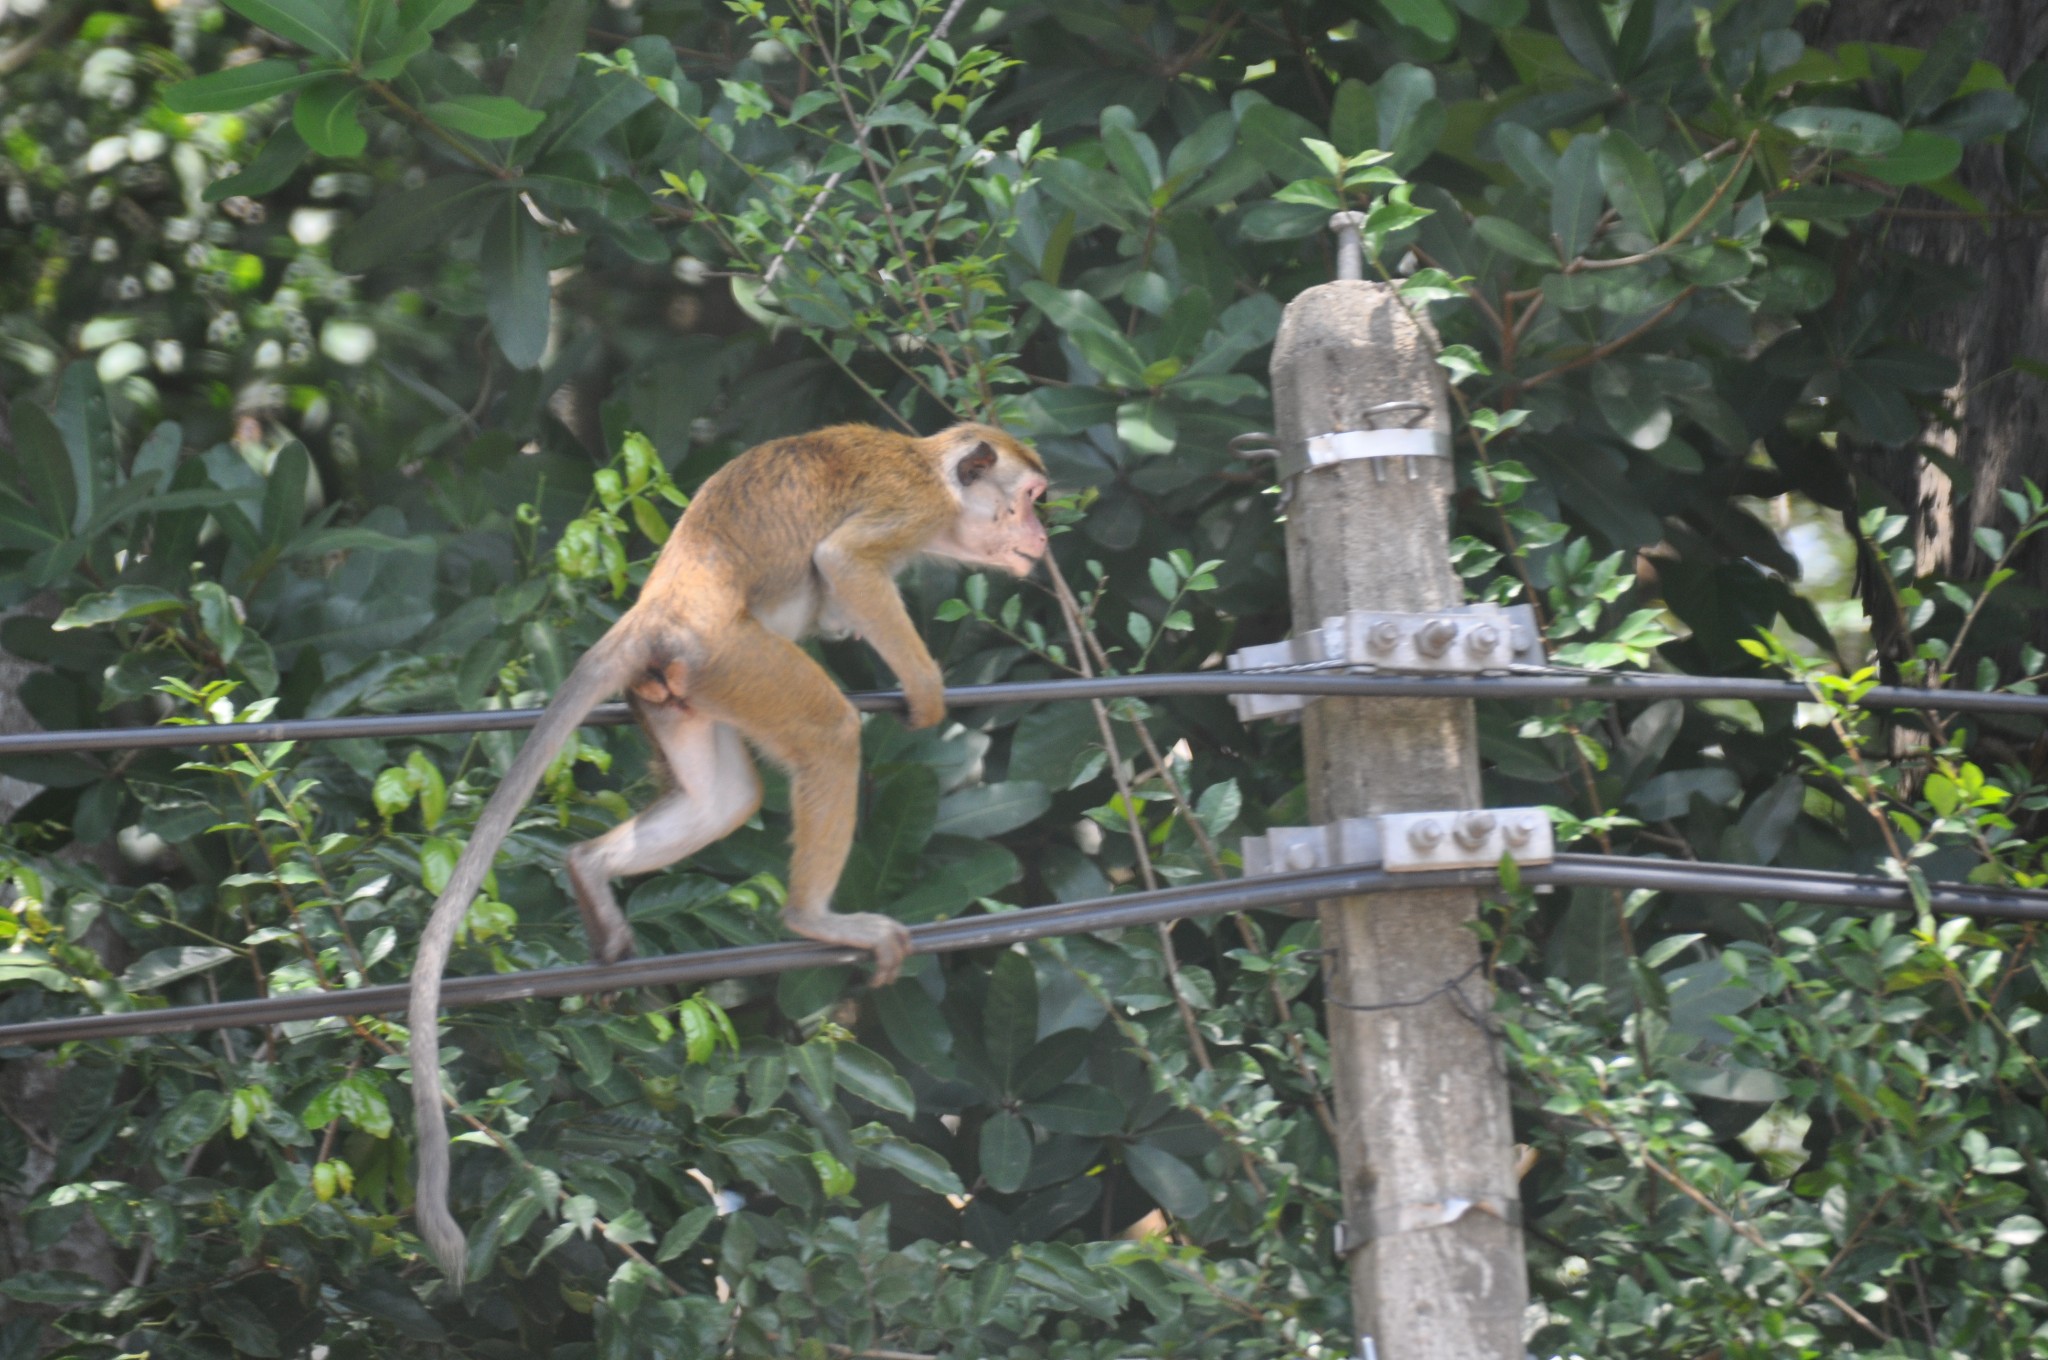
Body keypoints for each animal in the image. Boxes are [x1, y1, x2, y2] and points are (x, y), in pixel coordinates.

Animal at [403, 426, 1040, 1286]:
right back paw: (813, 918)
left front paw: (848, 632)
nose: (1040, 536)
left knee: (724, 800)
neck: (932, 468)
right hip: (732, 656)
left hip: (683, 690)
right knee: (828, 731)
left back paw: (590, 872)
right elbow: (845, 563)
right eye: (1030, 499)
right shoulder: (911, 509)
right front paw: (925, 684)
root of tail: (659, 609)